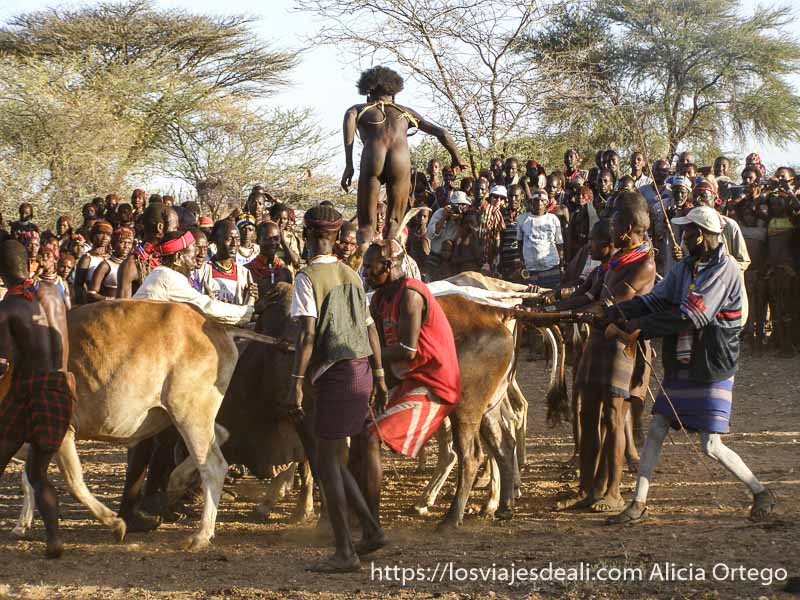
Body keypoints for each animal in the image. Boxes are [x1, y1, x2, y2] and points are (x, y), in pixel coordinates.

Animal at [12, 299, 288, 550]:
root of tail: (213, 324)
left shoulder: (63, 433)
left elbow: (73, 483)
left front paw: (115, 523)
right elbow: (29, 479)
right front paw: (22, 525)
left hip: (189, 413)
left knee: (214, 465)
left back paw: (201, 534)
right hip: (189, 416)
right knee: (220, 436)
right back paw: (177, 483)